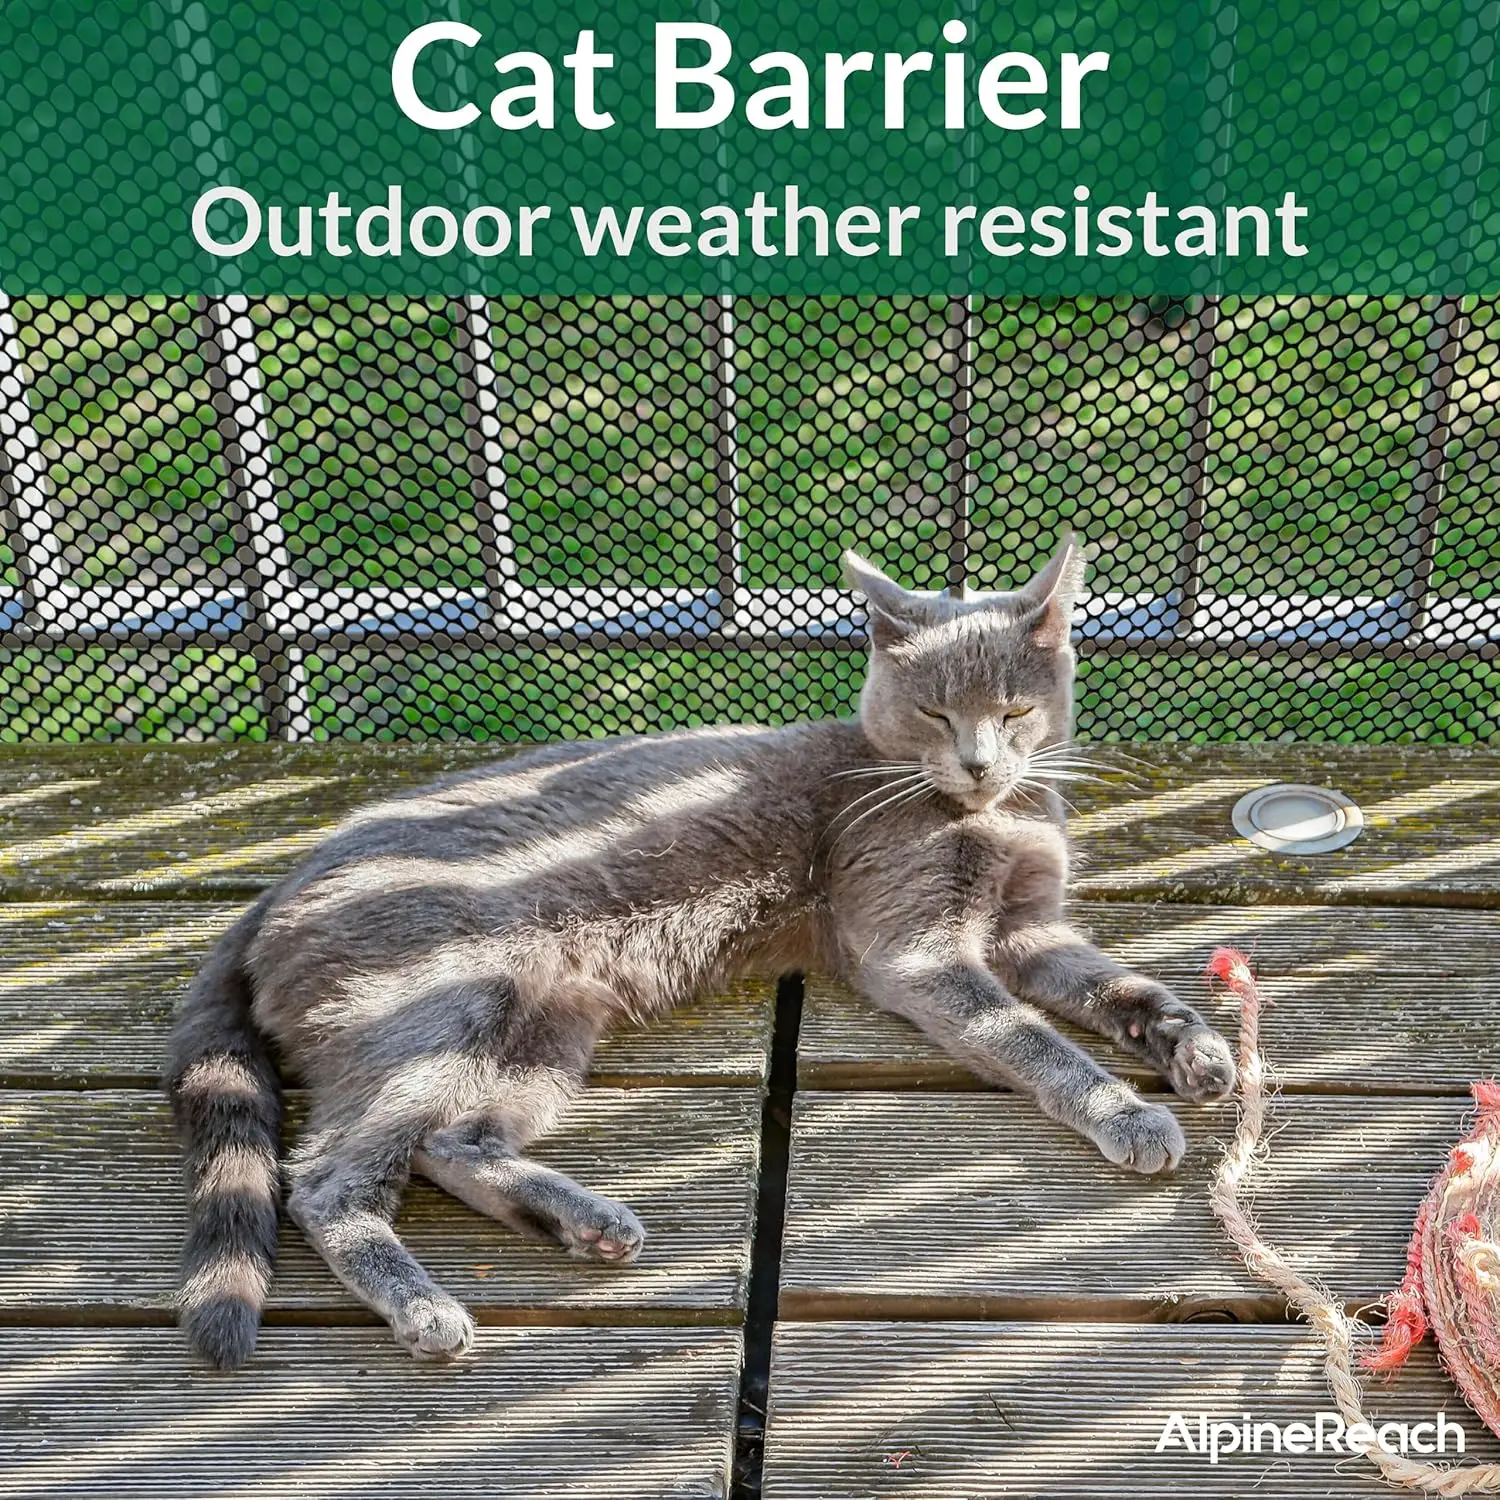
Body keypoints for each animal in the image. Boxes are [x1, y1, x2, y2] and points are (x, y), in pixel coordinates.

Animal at [170, 534, 1236, 1368]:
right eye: (937, 713)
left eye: (1014, 709)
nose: (978, 762)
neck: (994, 815)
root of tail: (275, 890)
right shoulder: (919, 948)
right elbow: (1031, 1038)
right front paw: (1127, 1112)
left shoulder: (1033, 929)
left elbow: (1119, 985)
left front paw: (1194, 1047)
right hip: (441, 1004)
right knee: (327, 1174)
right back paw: (426, 1307)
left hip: (547, 1028)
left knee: (447, 1140)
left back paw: (583, 1223)